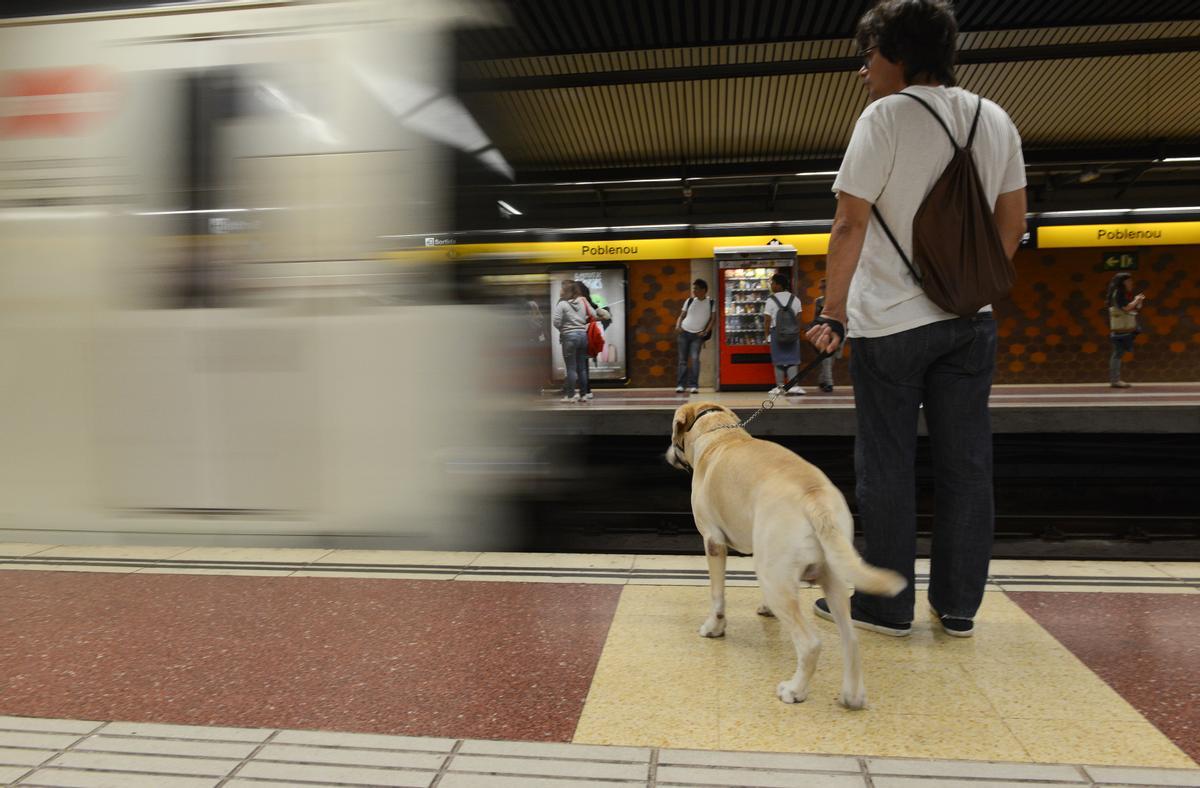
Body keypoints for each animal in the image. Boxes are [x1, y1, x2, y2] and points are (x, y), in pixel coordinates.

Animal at [662, 400, 902, 705]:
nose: (668, 452)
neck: (720, 435)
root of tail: (814, 496)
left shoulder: (713, 541)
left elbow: (717, 595)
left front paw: (714, 628)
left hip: (775, 577)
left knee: (810, 643)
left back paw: (794, 690)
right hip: (830, 574)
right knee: (850, 638)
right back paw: (852, 695)